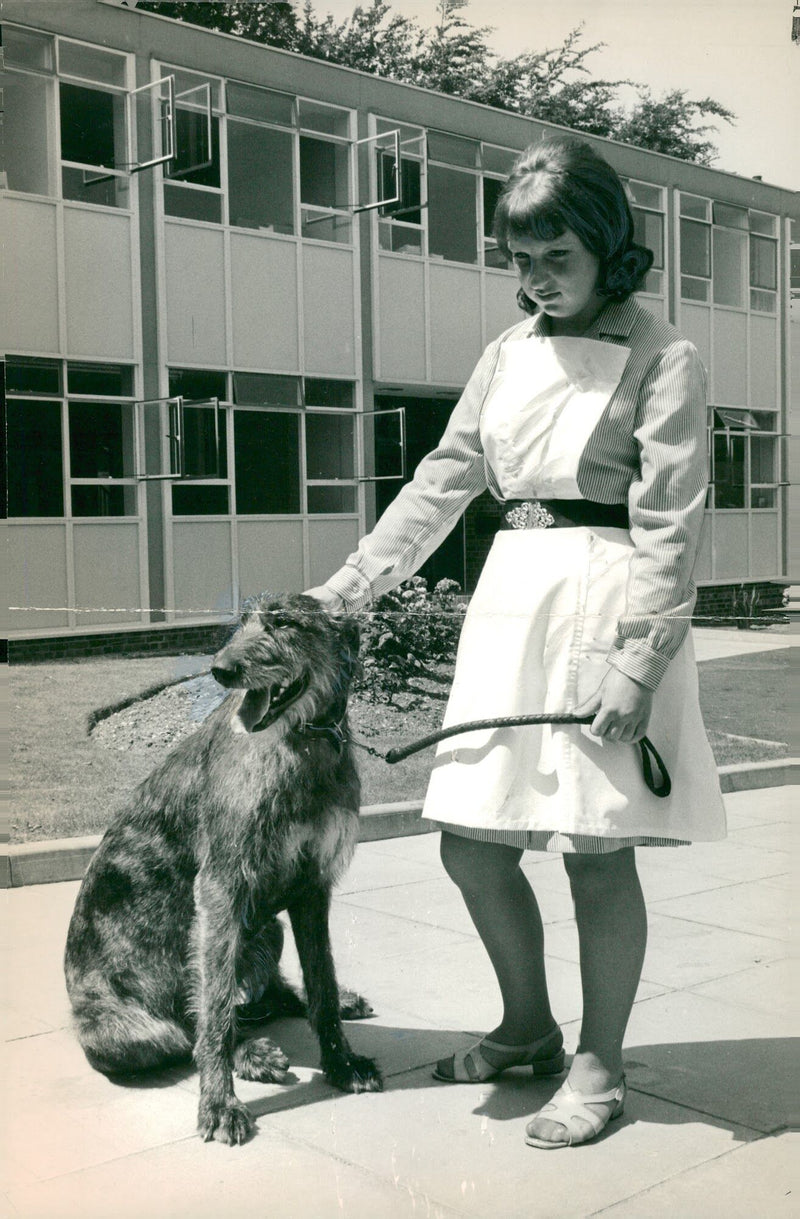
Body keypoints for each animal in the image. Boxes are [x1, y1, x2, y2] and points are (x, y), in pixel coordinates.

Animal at [64, 589, 382, 1140]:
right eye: (242, 624)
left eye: (284, 623)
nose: (221, 670)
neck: (301, 740)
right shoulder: (221, 887)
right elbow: (212, 1015)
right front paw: (218, 1103)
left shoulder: (311, 887)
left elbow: (321, 982)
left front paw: (340, 1062)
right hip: (119, 1033)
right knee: (191, 1028)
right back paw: (248, 1054)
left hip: (268, 928)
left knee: (263, 998)